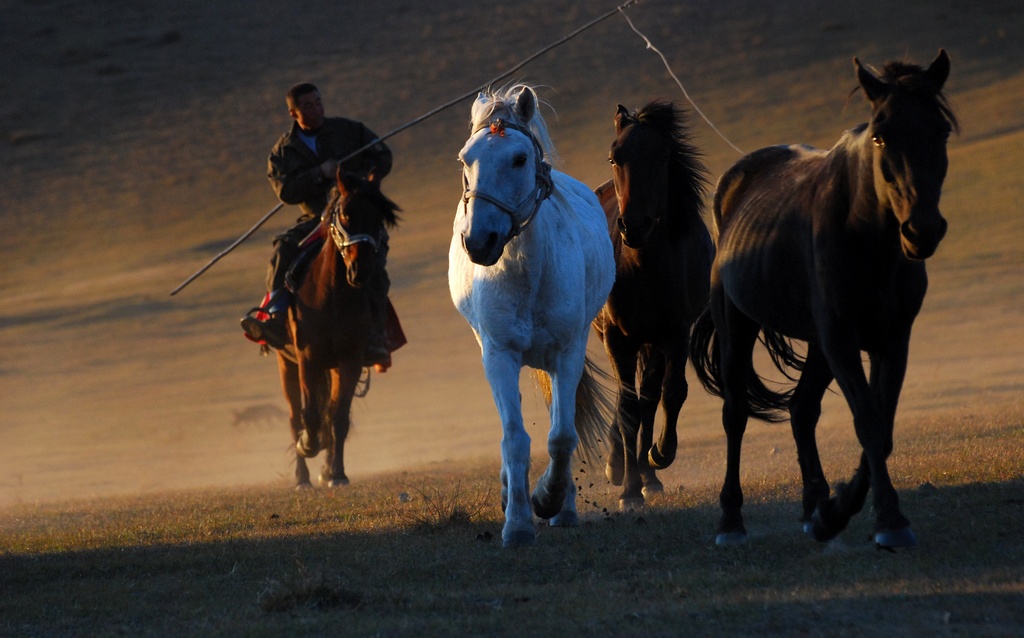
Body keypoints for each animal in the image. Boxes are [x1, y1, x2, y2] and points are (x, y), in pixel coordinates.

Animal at [278, 166, 401, 487]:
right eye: (345, 214)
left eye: (378, 218)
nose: (361, 270)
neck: (331, 295)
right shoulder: (307, 359)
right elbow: (309, 415)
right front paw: (308, 445)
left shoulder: (350, 361)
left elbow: (338, 418)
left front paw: (337, 474)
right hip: (287, 363)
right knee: (294, 417)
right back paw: (302, 477)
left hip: (331, 367)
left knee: (329, 412)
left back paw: (325, 470)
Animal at [450, 82, 614, 544]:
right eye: (465, 159)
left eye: (519, 159)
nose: (479, 241)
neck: (528, 276)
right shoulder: (499, 355)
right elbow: (515, 439)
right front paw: (519, 522)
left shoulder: (566, 354)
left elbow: (562, 437)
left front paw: (547, 499)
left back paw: (564, 507)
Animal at [593, 102, 712, 512]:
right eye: (614, 157)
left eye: (662, 156)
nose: (633, 226)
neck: (643, 266)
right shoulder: (617, 338)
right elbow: (628, 409)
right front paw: (628, 491)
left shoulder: (675, 334)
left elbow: (671, 394)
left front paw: (659, 454)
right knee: (630, 400)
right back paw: (621, 466)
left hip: (652, 343)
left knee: (649, 398)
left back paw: (649, 475)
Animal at [692, 49, 954, 548]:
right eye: (880, 135)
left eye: (942, 130)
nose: (922, 231)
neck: (866, 236)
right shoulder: (841, 339)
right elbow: (868, 422)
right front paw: (889, 522)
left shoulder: (892, 341)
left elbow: (883, 429)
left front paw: (835, 512)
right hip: (739, 329)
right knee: (735, 415)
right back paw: (731, 521)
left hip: (816, 345)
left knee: (801, 409)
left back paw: (814, 507)